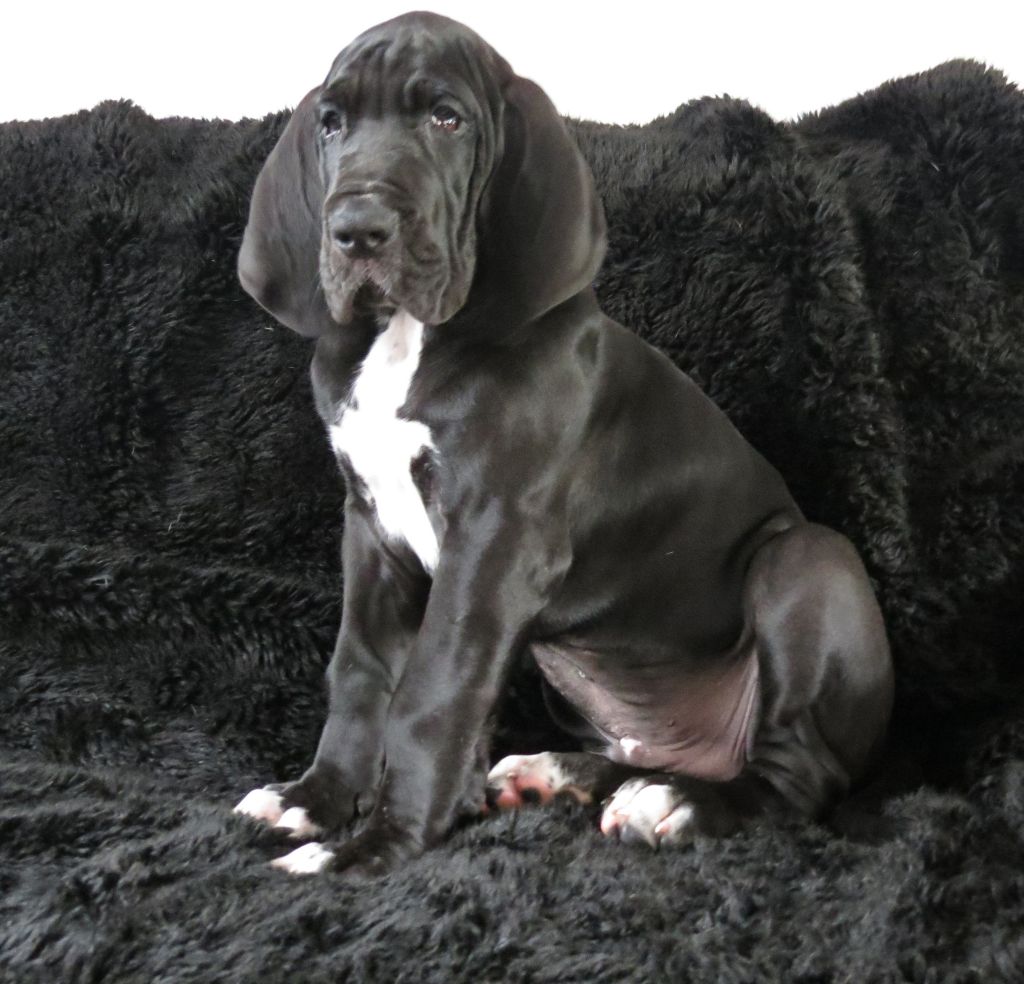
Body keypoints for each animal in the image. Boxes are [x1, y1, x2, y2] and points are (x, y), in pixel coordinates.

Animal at [233, 11, 894, 878]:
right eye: (332, 122)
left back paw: (679, 804)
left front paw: (371, 850)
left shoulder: (497, 541)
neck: (405, 339)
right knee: (643, 754)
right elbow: (360, 672)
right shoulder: (370, 529)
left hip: (806, 561)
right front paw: (317, 800)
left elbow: (431, 693)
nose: (356, 231)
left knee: (795, 775)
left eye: (447, 119)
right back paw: (562, 774)